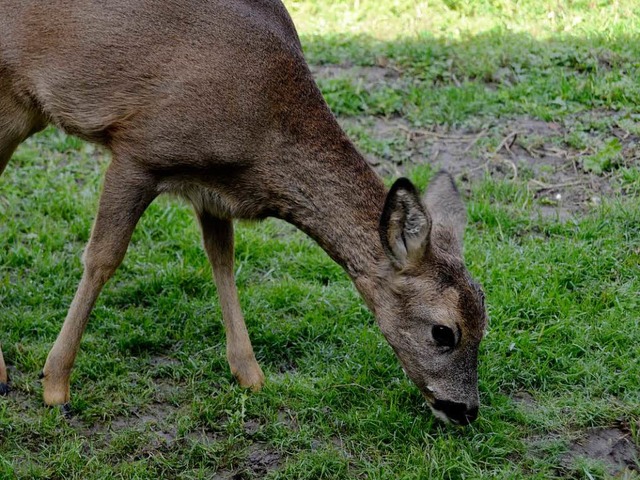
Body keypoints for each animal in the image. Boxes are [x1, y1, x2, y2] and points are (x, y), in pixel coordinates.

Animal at [0, 0, 488, 424]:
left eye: (485, 319)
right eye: (444, 331)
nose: (466, 411)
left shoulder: (209, 190)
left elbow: (223, 261)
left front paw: (250, 374)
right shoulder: (139, 151)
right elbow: (102, 259)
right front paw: (55, 385)